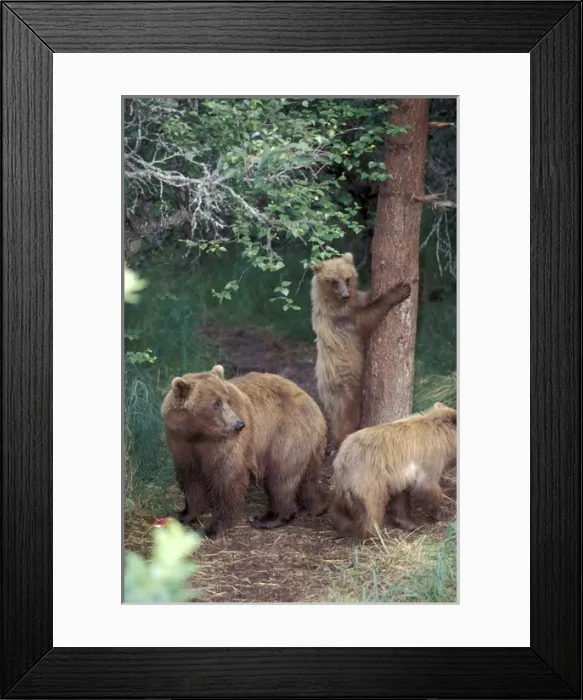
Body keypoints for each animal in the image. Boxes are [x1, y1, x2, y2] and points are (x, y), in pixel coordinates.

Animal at [161, 365, 328, 539]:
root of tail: (314, 405)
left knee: (280, 477)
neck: (198, 435)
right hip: (308, 445)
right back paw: (314, 508)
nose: (239, 425)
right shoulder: (181, 443)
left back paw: (269, 518)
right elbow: (190, 479)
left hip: (286, 435)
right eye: (215, 404)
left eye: (227, 400)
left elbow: (226, 479)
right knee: (308, 479)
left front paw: (214, 528)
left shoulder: (224, 446)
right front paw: (184, 514)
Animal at [310, 252, 411, 448]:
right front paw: (400, 290)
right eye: (333, 281)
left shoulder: (354, 303)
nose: (345, 295)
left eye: (347, 278)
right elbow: (368, 317)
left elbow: (367, 299)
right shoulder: (342, 319)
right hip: (342, 387)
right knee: (347, 416)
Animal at [329, 402, 456, 540]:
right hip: (367, 476)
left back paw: (342, 523)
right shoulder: (430, 456)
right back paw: (372, 534)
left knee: (340, 504)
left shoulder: (399, 475)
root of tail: (343, 456)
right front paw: (437, 513)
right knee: (372, 507)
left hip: (343, 481)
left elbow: (401, 497)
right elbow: (428, 484)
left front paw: (408, 523)